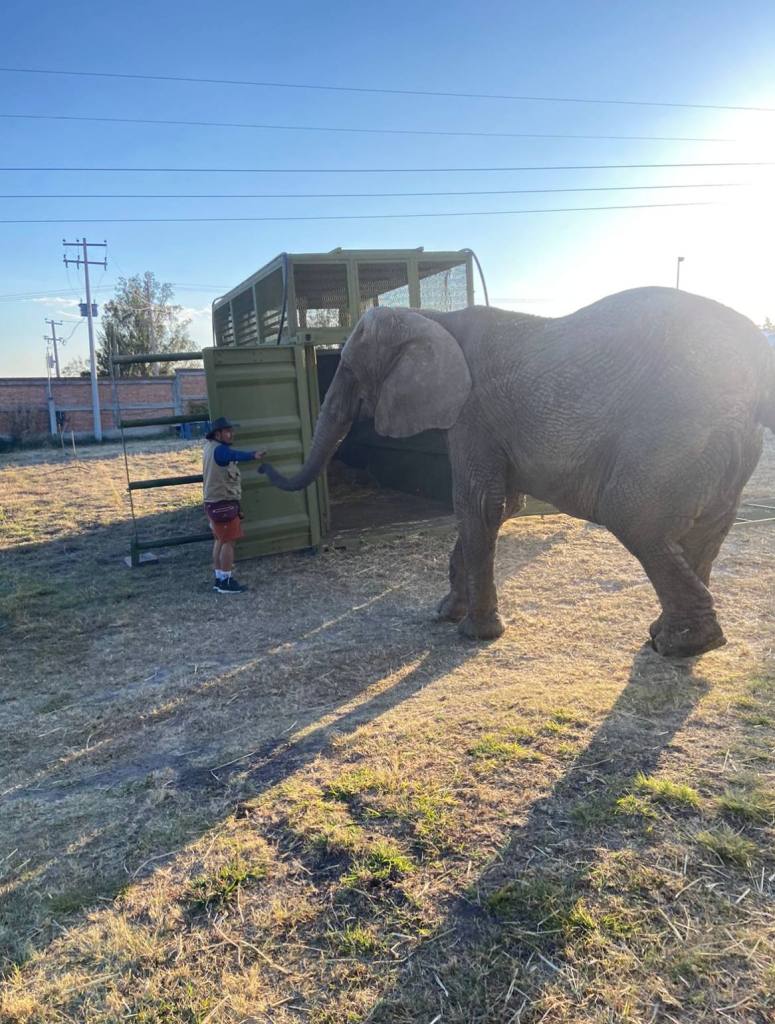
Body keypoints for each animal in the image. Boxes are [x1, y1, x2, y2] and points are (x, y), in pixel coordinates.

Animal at [260, 286, 773, 655]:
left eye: (347, 368)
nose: (262, 462)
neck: (432, 317)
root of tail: (755, 362)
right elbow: (501, 505)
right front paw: (446, 613)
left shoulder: (473, 411)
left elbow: (478, 504)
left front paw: (474, 634)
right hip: (724, 444)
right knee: (705, 530)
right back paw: (675, 638)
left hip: (675, 427)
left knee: (634, 517)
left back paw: (680, 646)